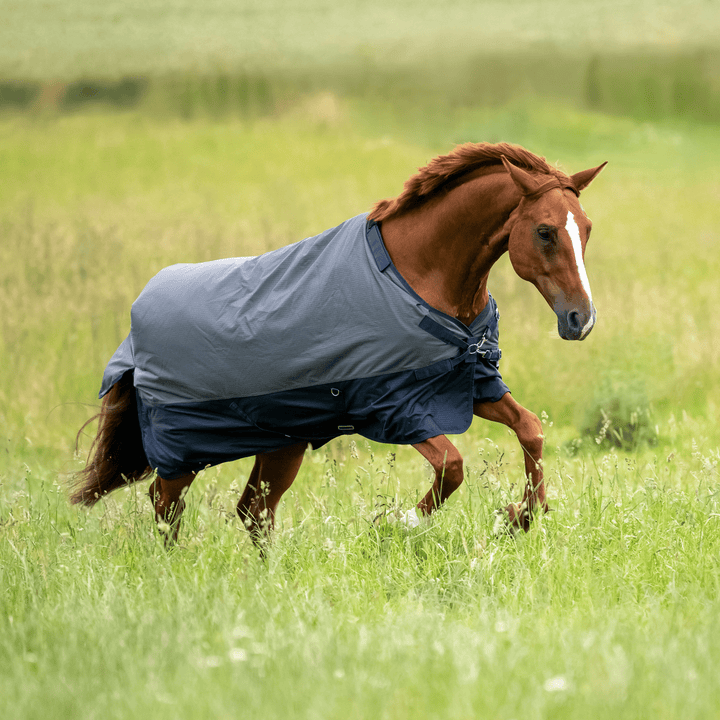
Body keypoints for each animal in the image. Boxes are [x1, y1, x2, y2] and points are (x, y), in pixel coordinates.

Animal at [71, 142, 606, 544]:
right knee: (167, 508)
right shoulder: (392, 407)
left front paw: (521, 516)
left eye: (586, 229)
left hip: (281, 444)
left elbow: (531, 430)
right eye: (544, 232)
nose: (580, 320)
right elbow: (452, 466)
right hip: (184, 452)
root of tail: (136, 329)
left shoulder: (470, 385)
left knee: (253, 512)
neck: (418, 276)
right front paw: (397, 522)